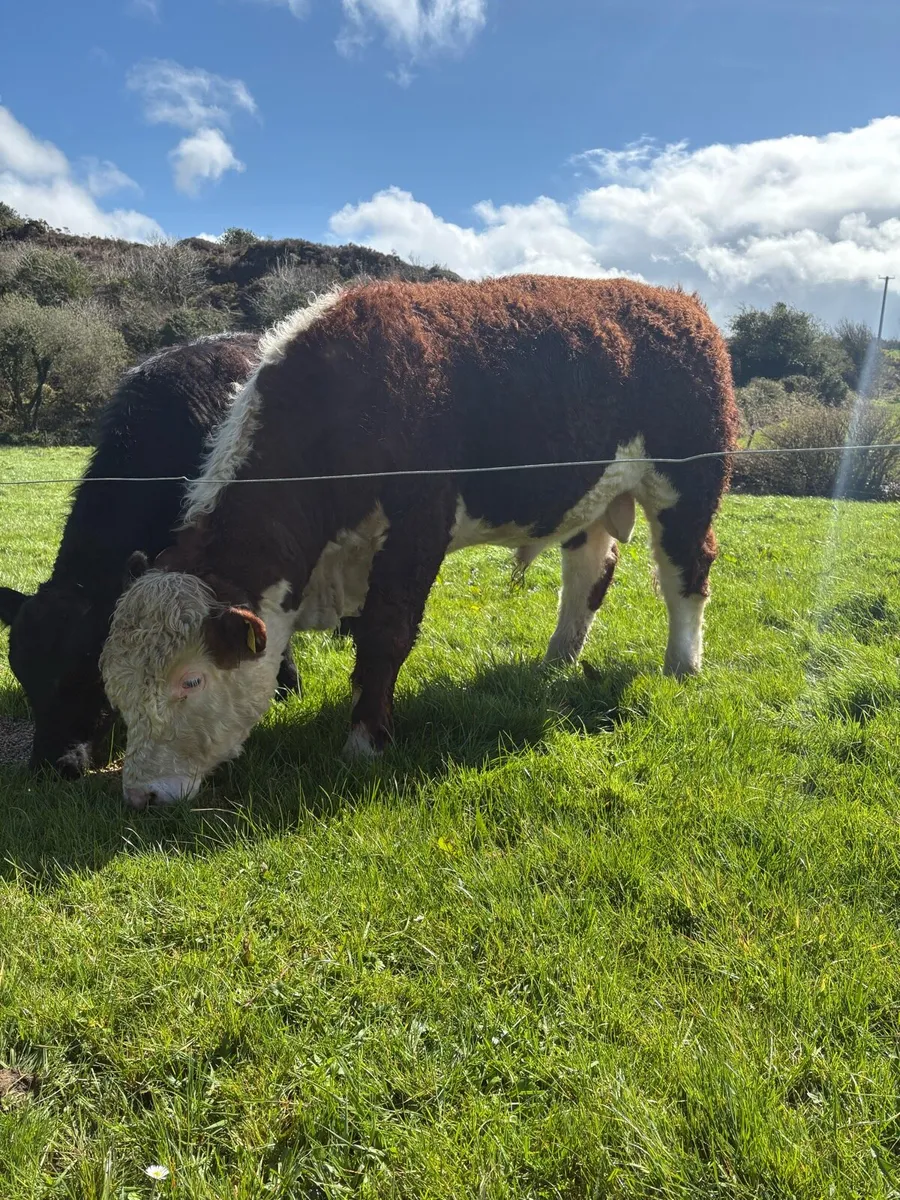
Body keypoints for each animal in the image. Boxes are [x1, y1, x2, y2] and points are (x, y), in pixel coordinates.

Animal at [100, 276, 738, 809]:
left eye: (191, 680)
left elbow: (385, 635)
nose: (140, 795)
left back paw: (682, 665)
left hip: (688, 483)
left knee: (687, 571)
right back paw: (559, 656)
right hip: (590, 494)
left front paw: (365, 741)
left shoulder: (419, 526)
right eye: (114, 684)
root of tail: (682, 304)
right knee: (588, 570)